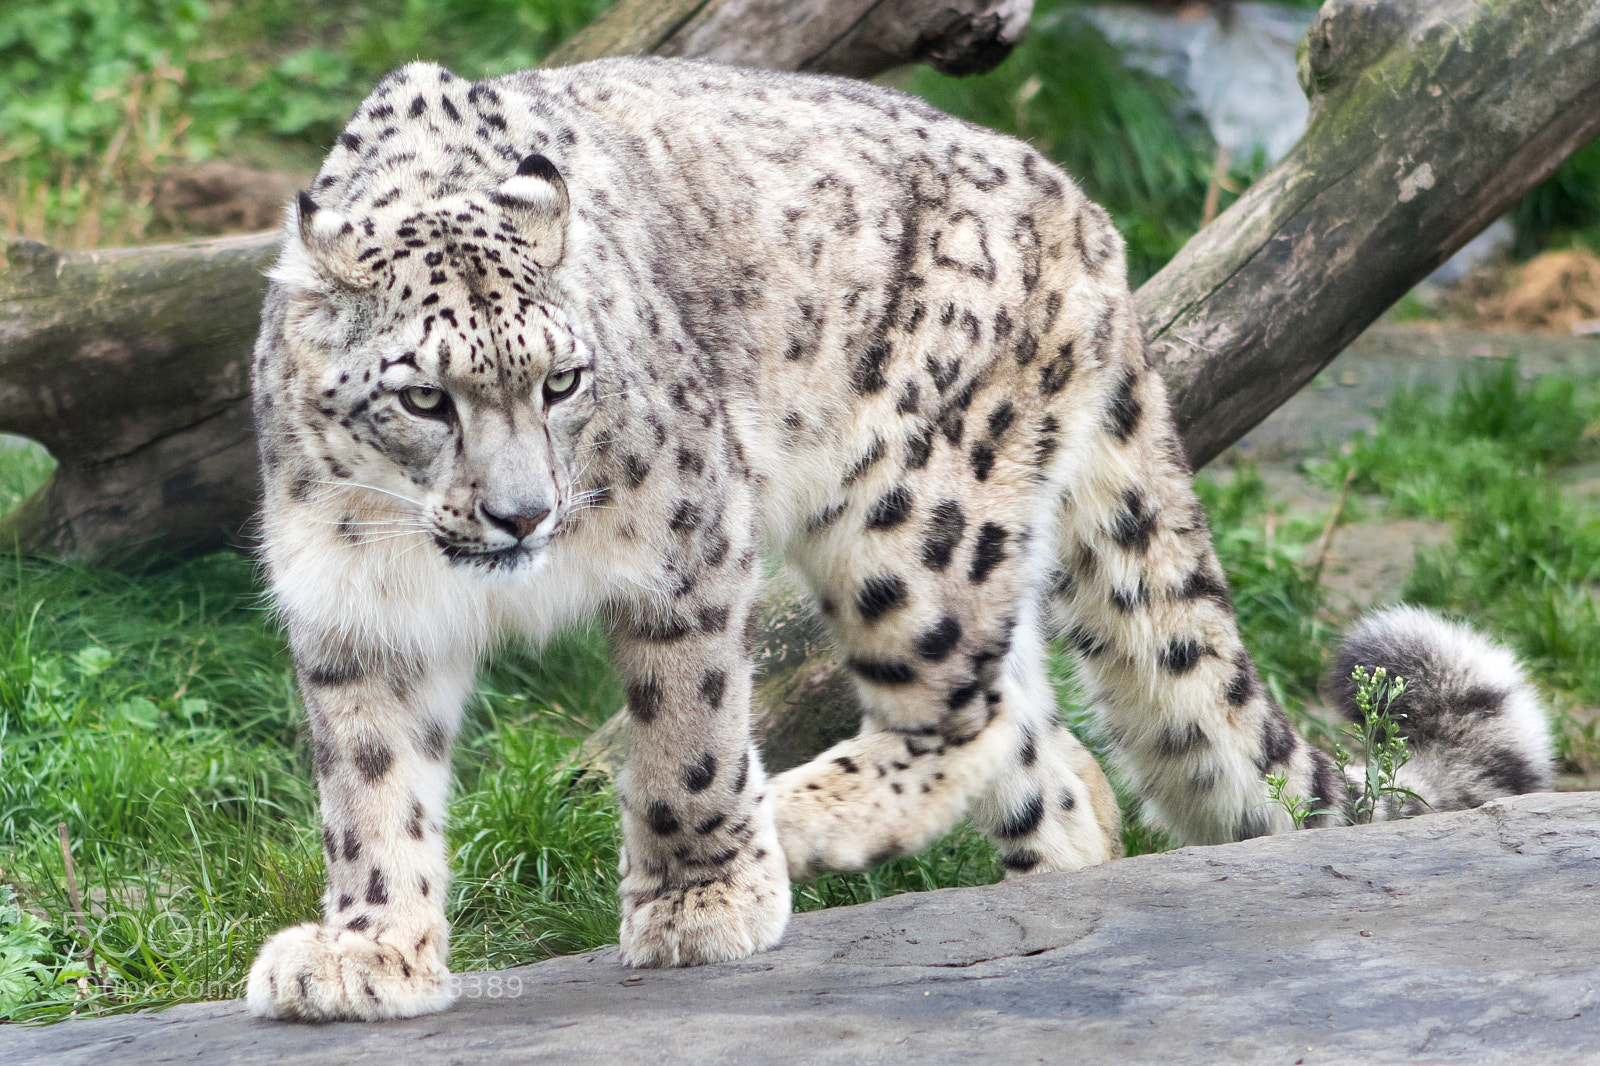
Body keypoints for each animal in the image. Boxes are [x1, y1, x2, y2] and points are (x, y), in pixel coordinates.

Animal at [244, 56, 1553, 1021]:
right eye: (425, 398)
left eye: (561, 381)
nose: (524, 514)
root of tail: (1082, 206)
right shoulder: (351, 607)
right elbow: (369, 785)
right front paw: (367, 950)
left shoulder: (684, 540)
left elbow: (683, 739)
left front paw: (700, 900)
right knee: (1047, 743)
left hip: (913, 518)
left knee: (961, 705)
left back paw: (800, 816)